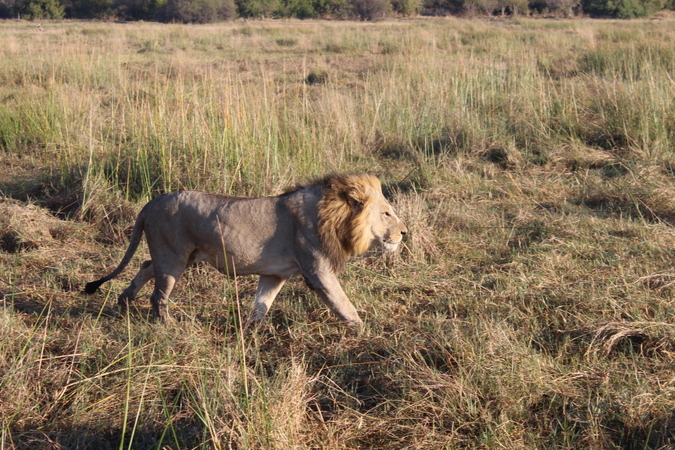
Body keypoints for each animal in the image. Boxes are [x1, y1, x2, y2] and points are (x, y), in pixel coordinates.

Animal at [87, 173, 410, 326]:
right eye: (387, 213)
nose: (404, 233)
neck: (334, 215)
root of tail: (150, 203)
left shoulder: (275, 274)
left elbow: (262, 303)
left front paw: (251, 330)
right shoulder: (318, 270)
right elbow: (343, 304)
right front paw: (364, 332)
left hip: (181, 257)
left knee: (144, 267)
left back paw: (124, 301)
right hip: (173, 258)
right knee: (158, 295)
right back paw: (168, 324)